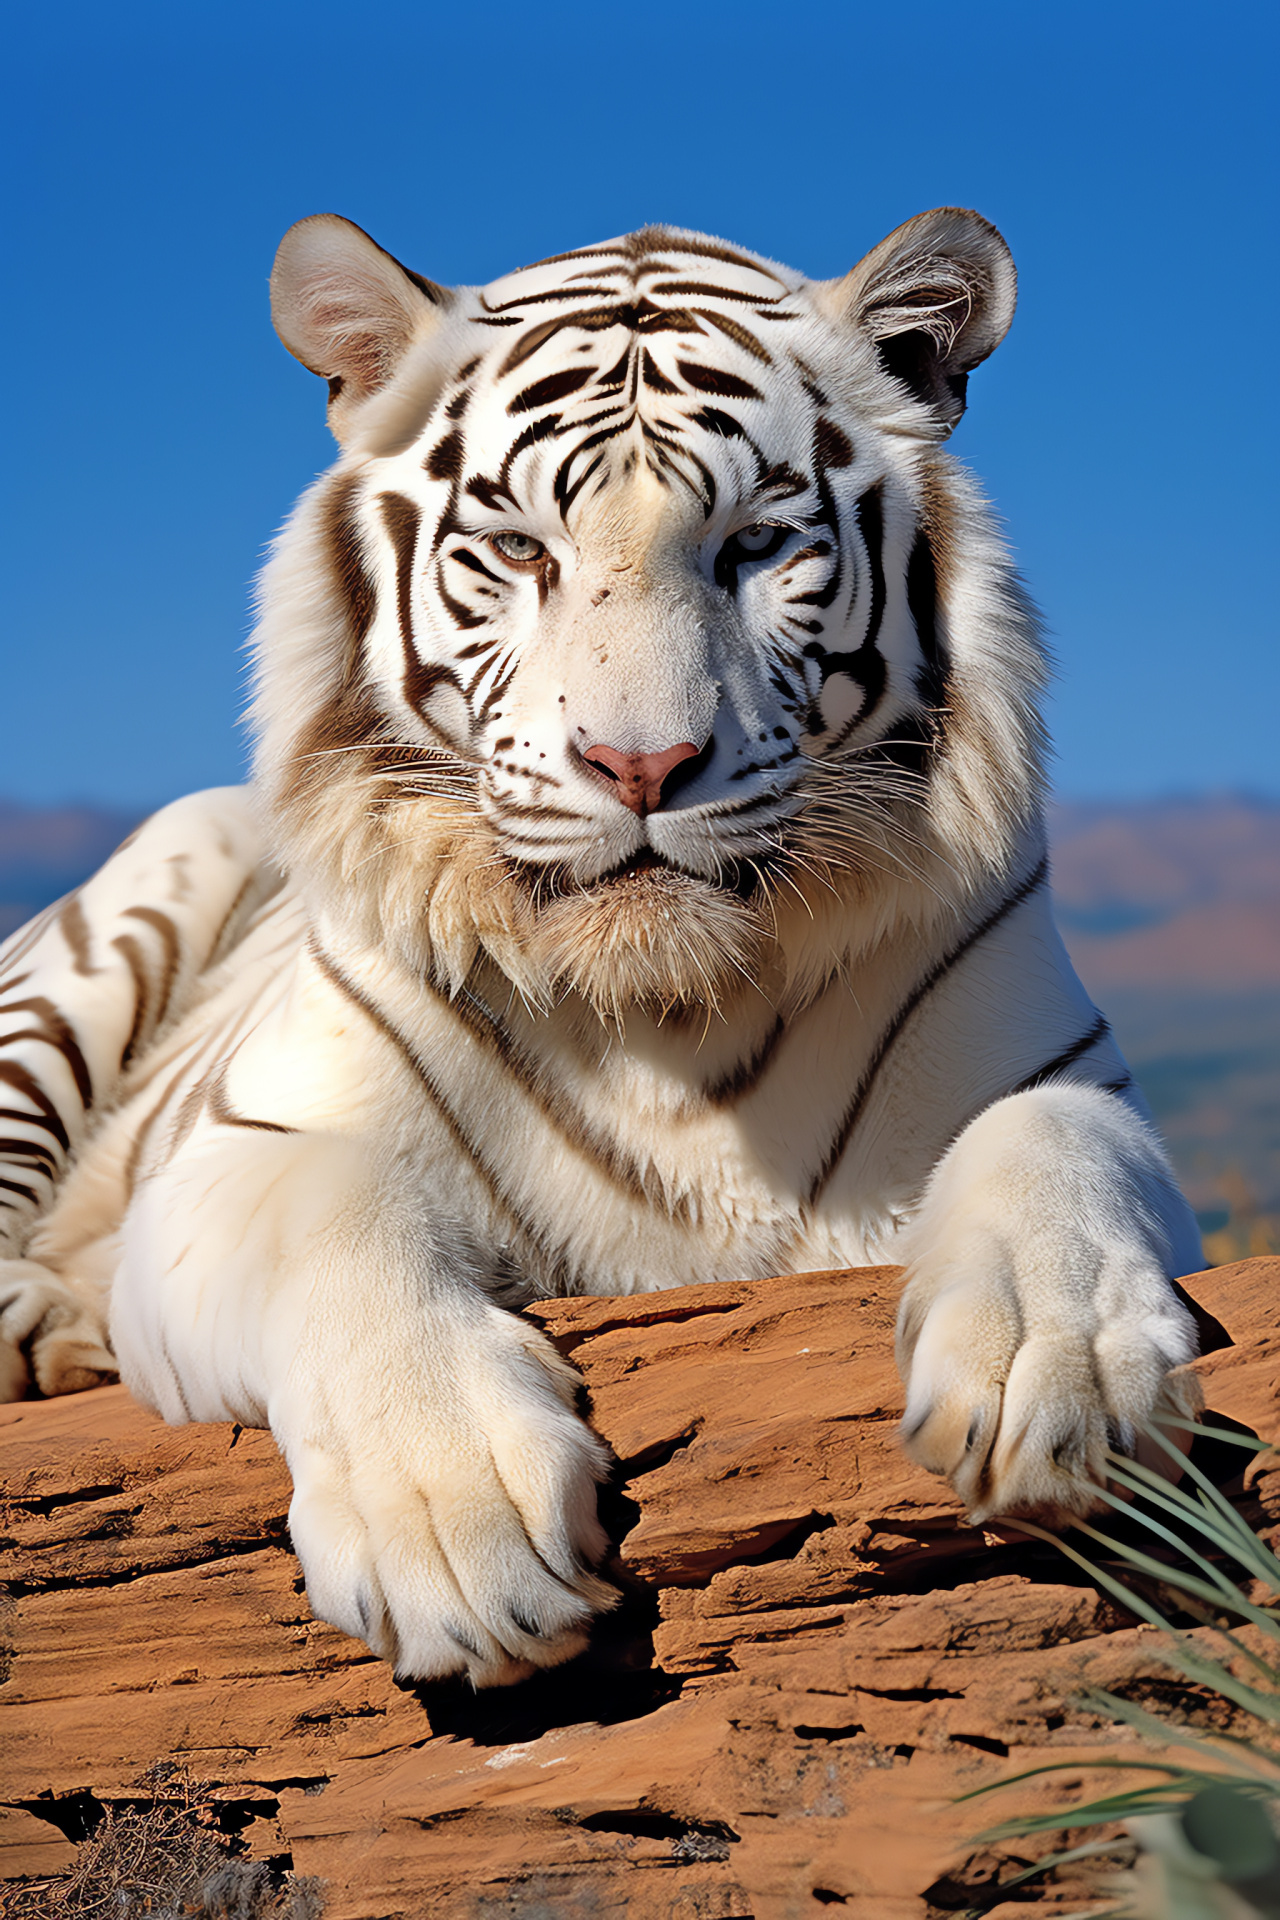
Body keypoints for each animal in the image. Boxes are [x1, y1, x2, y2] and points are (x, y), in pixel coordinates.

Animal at [0, 210, 1205, 1681]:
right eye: (519, 551)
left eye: (756, 545)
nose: (641, 766)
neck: (666, 1012)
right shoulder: (233, 1161)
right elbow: (336, 1209)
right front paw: (451, 1512)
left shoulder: (1057, 1076)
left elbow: (1051, 1147)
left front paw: (1059, 1373)